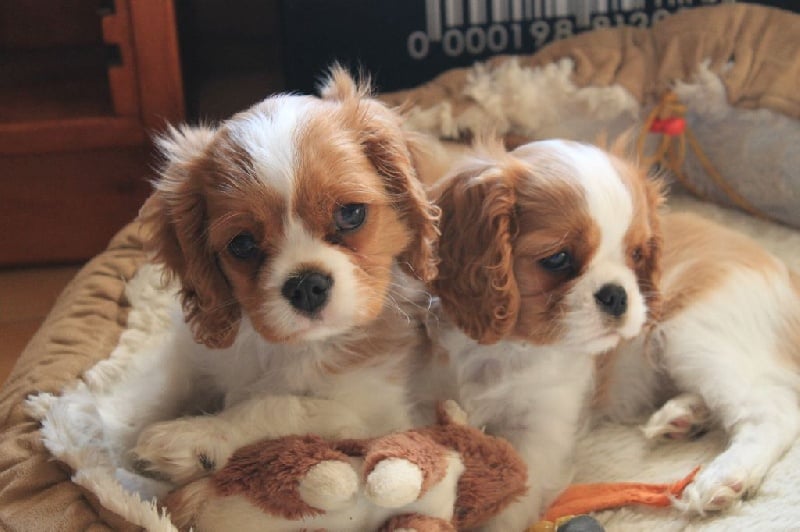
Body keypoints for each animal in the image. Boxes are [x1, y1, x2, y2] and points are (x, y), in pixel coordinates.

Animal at [123, 67, 444, 498]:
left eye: (351, 214)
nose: (306, 285)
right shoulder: (194, 352)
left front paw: (197, 435)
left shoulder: (377, 414)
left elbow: (276, 404)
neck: (278, 347)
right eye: (242, 244)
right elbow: (160, 382)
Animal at [428, 139, 800, 528]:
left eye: (637, 255)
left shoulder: (542, 431)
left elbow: (509, 505)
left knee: (773, 411)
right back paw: (683, 416)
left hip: (693, 334)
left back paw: (723, 477)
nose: (617, 295)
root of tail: (786, 272)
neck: (510, 347)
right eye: (558, 259)